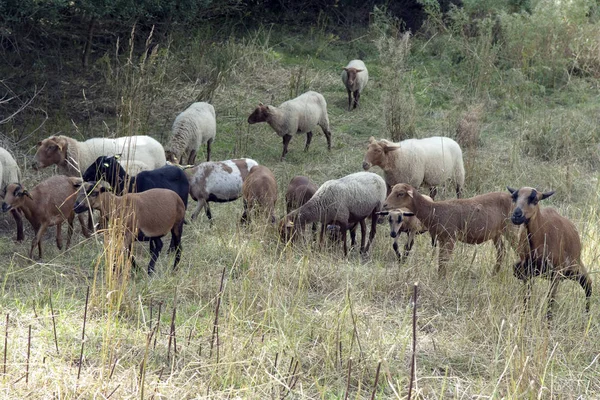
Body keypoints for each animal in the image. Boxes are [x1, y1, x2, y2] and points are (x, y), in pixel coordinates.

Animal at [384, 184, 516, 278]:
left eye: (400, 193)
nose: (385, 205)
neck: (434, 211)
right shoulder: (442, 239)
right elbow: (441, 260)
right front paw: (439, 278)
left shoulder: (450, 237)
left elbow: (445, 260)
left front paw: (443, 280)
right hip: (496, 233)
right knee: (502, 252)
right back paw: (493, 274)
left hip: (511, 228)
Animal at [506, 186, 592, 320]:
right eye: (514, 197)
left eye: (535, 199)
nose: (516, 216)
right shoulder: (527, 270)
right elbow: (527, 296)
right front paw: (524, 316)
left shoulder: (556, 273)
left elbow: (550, 300)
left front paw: (548, 322)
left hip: (575, 269)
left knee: (588, 285)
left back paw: (587, 315)